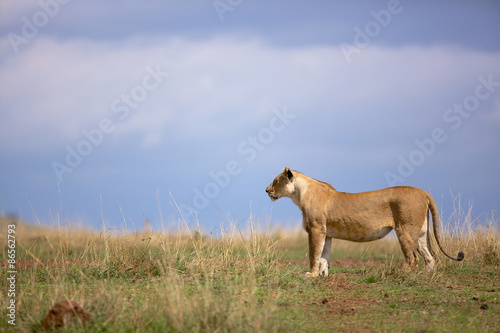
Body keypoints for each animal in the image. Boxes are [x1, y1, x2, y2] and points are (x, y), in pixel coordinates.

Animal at [266, 167, 464, 276]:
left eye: (275, 180)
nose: (266, 190)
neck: (299, 193)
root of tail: (424, 192)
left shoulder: (316, 229)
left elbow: (313, 255)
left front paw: (311, 275)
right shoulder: (326, 233)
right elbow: (324, 256)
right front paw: (323, 275)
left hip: (405, 230)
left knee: (413, 257)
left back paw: (400, 274)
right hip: (421, 232)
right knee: (430, 258)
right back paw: (427, 276)